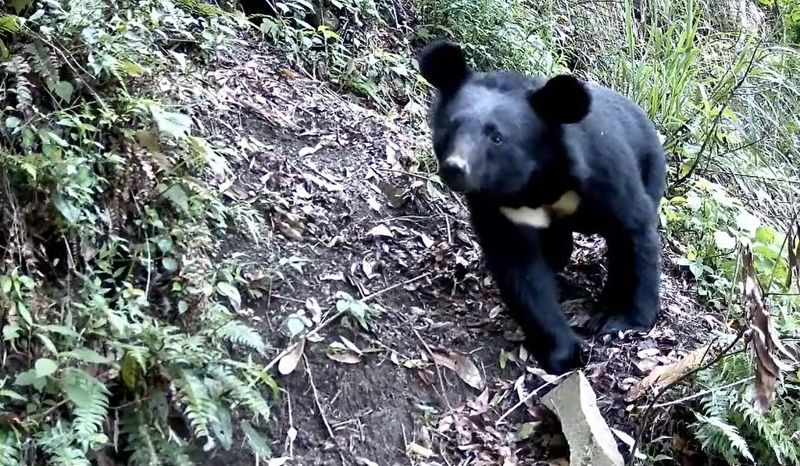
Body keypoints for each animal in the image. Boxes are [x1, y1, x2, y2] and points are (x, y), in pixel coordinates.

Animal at [417, 40, 667, 375]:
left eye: (497, 137)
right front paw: (564, 352)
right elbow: (522, 270)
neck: (537, 182)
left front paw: (625, 320)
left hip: (650, 168)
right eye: (451, 127)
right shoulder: (498, 205)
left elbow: (634, 228)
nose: (455, 168)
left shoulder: (604, 173)